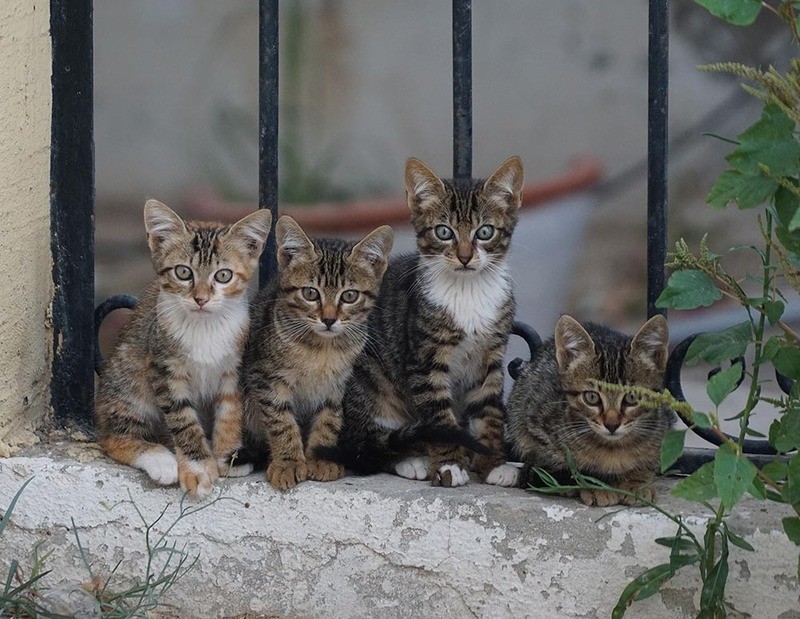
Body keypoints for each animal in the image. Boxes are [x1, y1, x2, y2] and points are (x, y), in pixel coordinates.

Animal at [242, 216, 396, 492]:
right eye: (310, 293)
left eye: (350, 296)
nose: (329, 319)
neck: (322, 350)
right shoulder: (267, 378)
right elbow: (282, 422)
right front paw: (288, 462)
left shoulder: (338, 385)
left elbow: (329, 420)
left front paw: (321, 459)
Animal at [332, 156, 524, 490]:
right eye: (444, 232)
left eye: (485, 232)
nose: (465, 257)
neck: (467, 292)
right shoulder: (424, 358)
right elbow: (438, 416)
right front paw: (450, 464)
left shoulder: (490, 355)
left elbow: (488, 409)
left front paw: (494, 462)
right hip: (369, 380)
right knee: (371, 444)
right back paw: (412, 460)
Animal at [506, 318, 676, 506]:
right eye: (591, 397)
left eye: (632, 397)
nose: (612, 424)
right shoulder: (533, 428)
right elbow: (570, 466)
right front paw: (595, 485)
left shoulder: (664, 428)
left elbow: (647, 463)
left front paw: (636, 483)